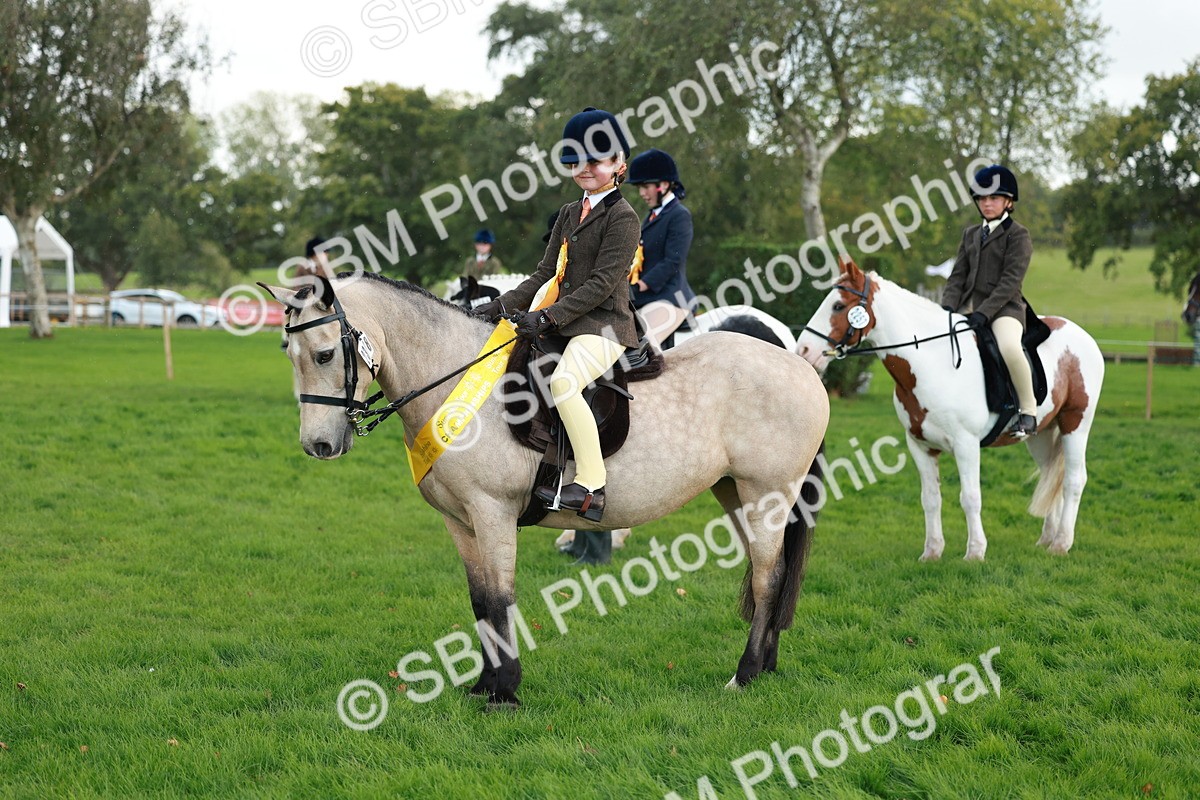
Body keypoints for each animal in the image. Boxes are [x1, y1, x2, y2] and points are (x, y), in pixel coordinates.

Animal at [263, 272, 829, 705]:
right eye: (287, 351)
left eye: (324, 354)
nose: (318, 444)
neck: (456, 382)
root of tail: (799, 365)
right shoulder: (460, 521)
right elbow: (480, 601)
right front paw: (483, 685)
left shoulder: (492, 512)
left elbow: (501, 598)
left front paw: (505, 693)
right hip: (735, 492)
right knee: (767, 570)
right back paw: (767, 666)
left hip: (767, 493)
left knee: (768, 577)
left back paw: (746, 674)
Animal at [796, 260, 1104, 561]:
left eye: (838, 306)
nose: (804, 351)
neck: (931, 361)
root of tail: (1083, 336)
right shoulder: (920, 446)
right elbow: (930, 499)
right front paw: (932, 552)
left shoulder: (966, 444)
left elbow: (970, 497)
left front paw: (975, 552)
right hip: (1041, 434)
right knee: (1050, 475)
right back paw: (1047, 539)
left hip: (1076, 424)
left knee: (1074, 480)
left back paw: (1061, 544)